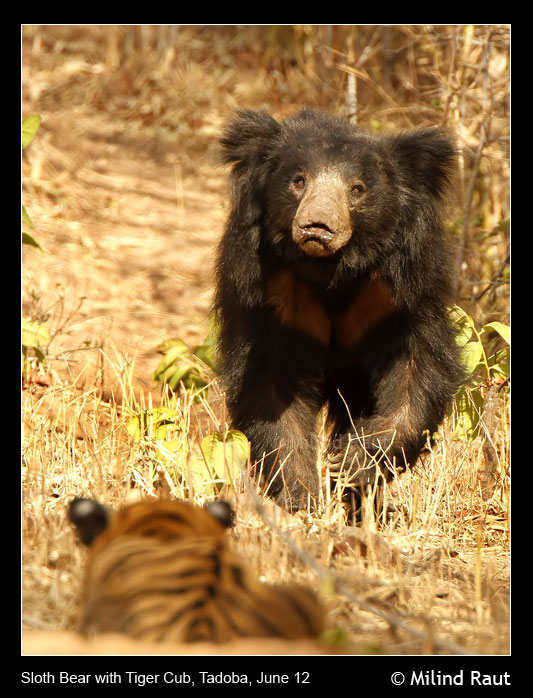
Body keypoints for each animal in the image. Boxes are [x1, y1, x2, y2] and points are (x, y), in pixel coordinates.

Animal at [214, 107, 465, 514]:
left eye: (357, 189)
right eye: (299, 181)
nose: (317, 226)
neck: (331, 269)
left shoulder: (400, 293)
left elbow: (415, 370)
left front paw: (352, 460)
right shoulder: (270, 295)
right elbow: (272, 389)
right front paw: (301, 497)